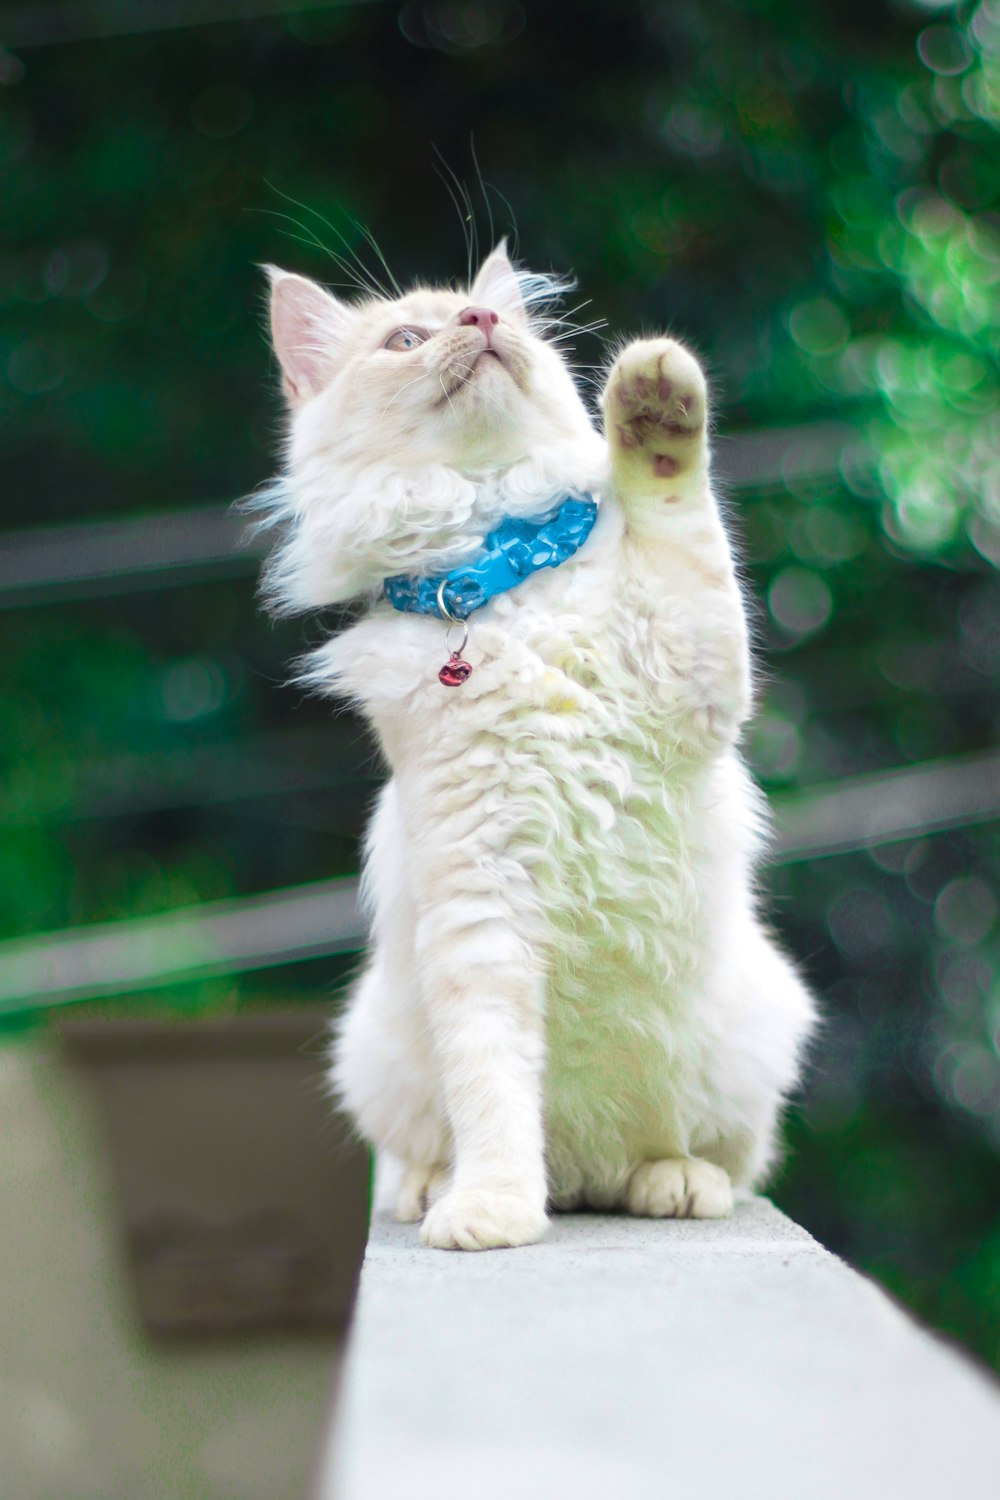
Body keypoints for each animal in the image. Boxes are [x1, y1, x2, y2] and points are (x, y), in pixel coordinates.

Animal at [262, 246, 815, 1248]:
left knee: (714, 1158)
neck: (501, 583)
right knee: (425, 1152)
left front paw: (651, 404)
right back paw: (435, 1191)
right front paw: (492, 1210)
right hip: (369, 1049)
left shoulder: (700, 668)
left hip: (758, 1031)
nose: (482, 325)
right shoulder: (480, 908)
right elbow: (492, 1092)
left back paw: (674, 1183)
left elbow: (677, 506)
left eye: (495, 318)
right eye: (407, 339)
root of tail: (589, 1176)